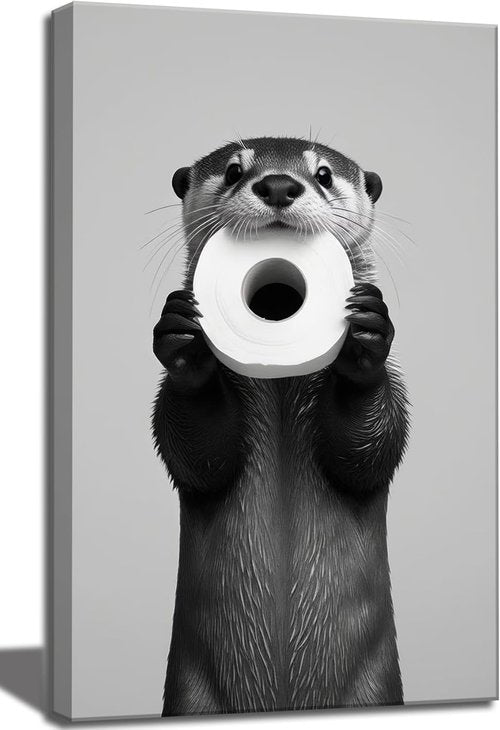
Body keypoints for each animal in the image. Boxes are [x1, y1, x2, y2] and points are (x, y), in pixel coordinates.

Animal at [152, 137, 409, 716]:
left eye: (323, 173)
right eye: (232, 170)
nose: (277, 184)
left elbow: (370, 451)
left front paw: (366, 337)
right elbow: (198, 455)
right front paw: (184, 341)